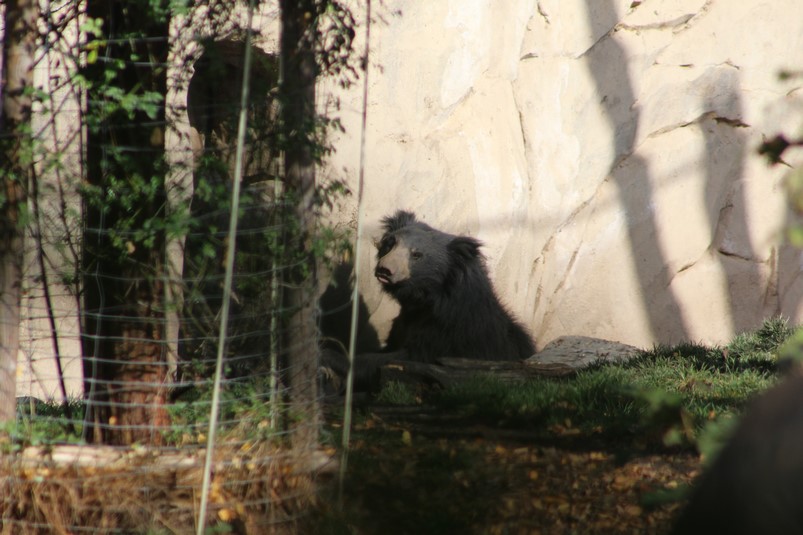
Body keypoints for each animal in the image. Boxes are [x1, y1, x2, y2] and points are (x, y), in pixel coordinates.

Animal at [324, 210, 535, 391]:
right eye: (390, 244)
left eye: (416, 255)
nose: (384, 270)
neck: (425, 300)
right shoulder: (405, 322)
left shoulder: (448, 332)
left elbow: (407, 358)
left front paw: (331, 354)